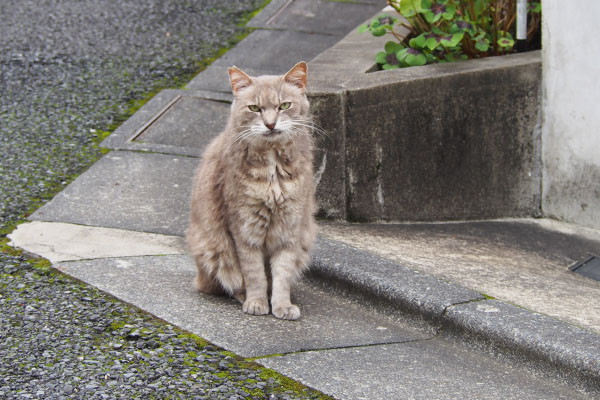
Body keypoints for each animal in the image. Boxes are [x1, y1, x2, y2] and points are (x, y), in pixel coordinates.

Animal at [186, 61, 318, 320]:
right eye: (255, 108)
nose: (270, 124)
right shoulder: (245, 229)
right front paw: (257, 302)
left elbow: (282, 273)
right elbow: (254, 273)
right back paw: (243, 296)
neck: (274, 168)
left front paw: (282, 305)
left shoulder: (289, 229)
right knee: (228, 280)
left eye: (284, 105)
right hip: (214, 249)